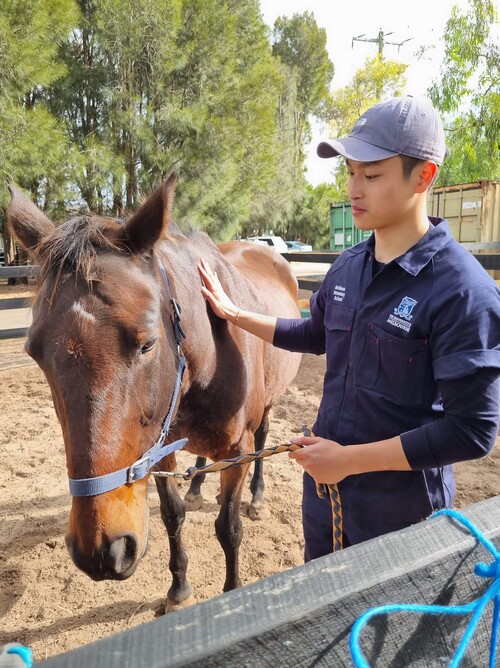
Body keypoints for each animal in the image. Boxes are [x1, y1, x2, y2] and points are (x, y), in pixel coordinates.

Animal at [7, 174, 300, 612]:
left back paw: (257, 498)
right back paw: (196, 487)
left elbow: (229, 528)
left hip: (266, 410)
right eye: (34, 352)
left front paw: (231, 594)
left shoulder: (236, 450)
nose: (103, 551)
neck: (210, 354)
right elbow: (172, 515)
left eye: (147, 343)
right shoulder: (158, 448)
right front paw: (179, 589)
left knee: (264, 439)